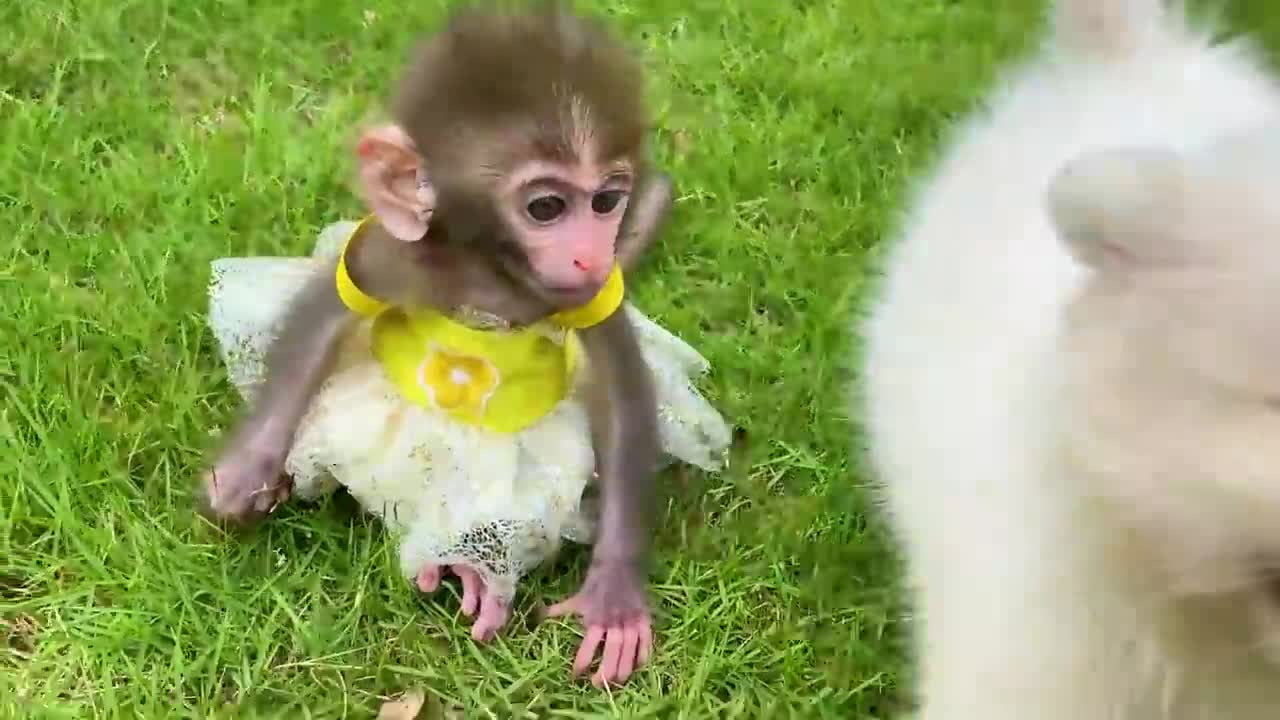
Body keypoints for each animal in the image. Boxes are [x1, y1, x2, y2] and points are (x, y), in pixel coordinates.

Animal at [197, 0, 680, 681]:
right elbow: (330, 306)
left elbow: (621, 383)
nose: (590, 253)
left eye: (607, 200)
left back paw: (474, 566)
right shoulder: (393, 251)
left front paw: (613, 594)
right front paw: (248, 466)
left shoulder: (592, 292)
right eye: (547, 208)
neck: (491, 270)